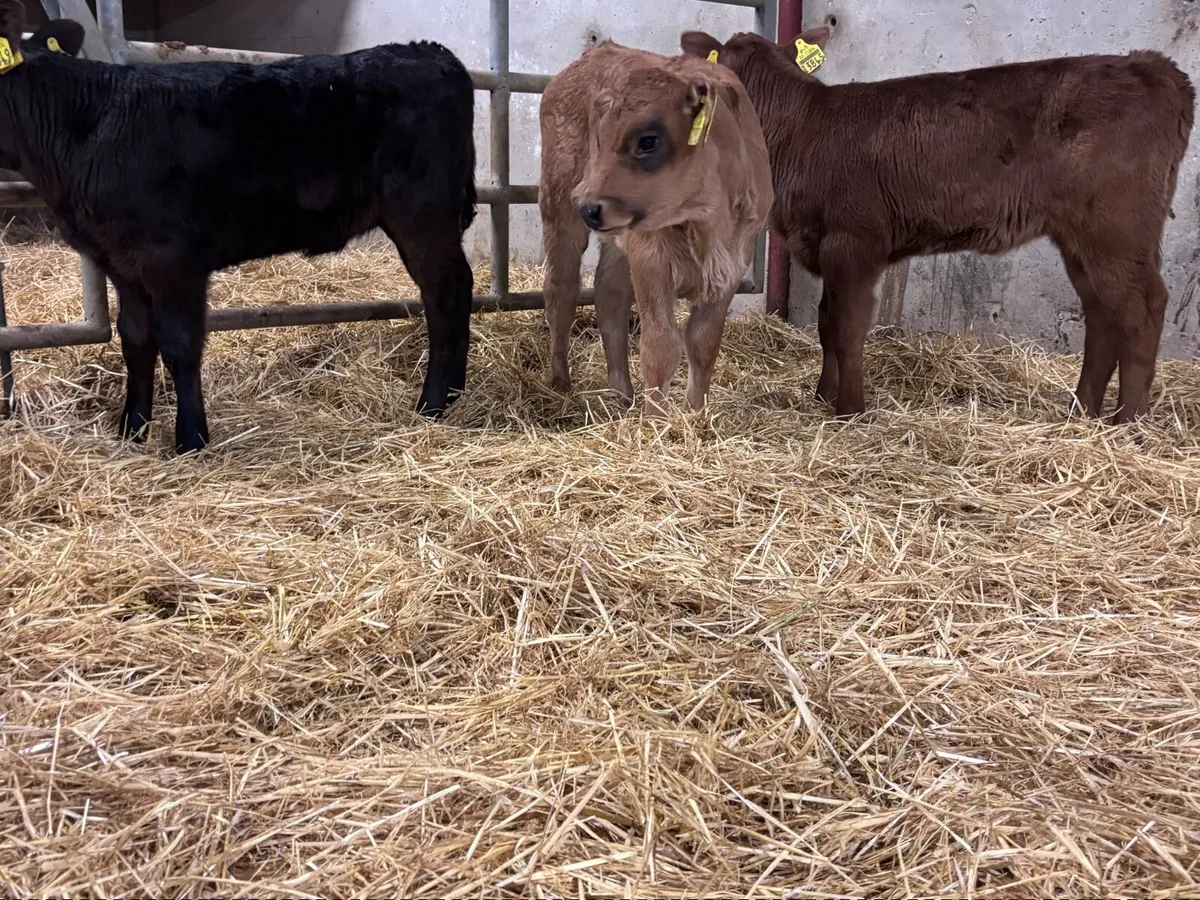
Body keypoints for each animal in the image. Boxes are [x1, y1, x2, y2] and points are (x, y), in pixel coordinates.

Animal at [0, 0, 476, 453]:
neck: (89, 128)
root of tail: (428, 50)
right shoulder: (121, 262)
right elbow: (135, 340)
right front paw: (131, 431)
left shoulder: (171, 259)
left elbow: (179, 344)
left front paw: (190, 439)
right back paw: (453, 395)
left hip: (422, 212)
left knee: (446, 292)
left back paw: (432, 404)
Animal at [539, 41, 773, 414]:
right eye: (599, 137)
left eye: (648, 141)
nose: (590, 207)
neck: (705, 222)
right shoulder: (651, 259)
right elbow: (661, 347)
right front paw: (654, 422)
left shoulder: (732, 264)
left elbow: (703, 343)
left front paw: (694, 415)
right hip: (559, 207)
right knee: (561, 290)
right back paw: (561, 384)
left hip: (618, 239)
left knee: (609, 295)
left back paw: (622, 394)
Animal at [682, 28, 1195, 424]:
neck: (802, 131)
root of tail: (1152, 65)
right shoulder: (828, 245)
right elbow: (826, 322)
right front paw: (824, 396)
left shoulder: (855, 242)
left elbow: (846, 327)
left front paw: (850, 409)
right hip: (1079, 235)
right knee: (1102, 311)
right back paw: (1082, 412)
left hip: (1117, 227)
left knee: (1142, 308)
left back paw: (1129, 423)